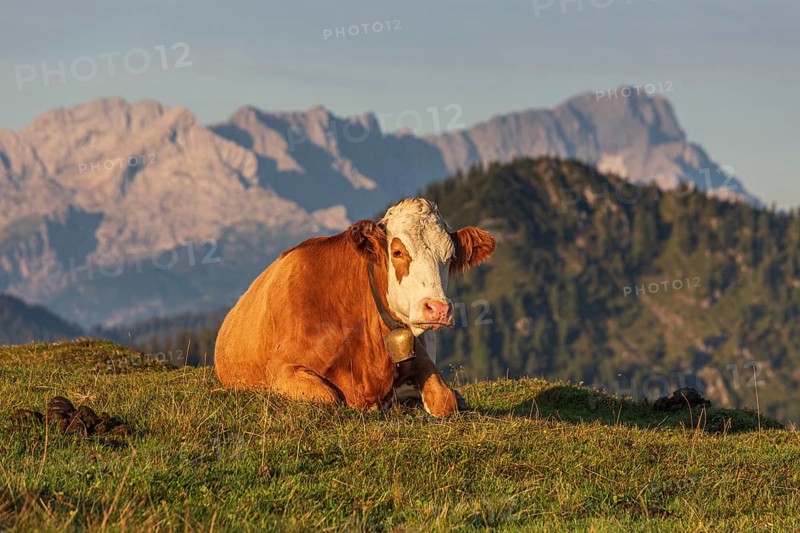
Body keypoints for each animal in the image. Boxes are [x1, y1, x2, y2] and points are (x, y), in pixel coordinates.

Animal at [214, 197, 495, 417]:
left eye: (450, 257)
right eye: (397, 252)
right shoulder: (280, 369)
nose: (437, 309)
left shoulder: (421, 357)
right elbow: (330, 396)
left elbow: (445, 399)